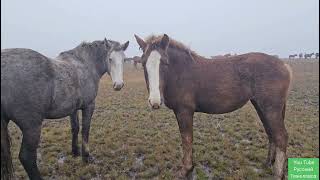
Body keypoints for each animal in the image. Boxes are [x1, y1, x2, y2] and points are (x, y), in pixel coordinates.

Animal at [1, 37, 129, 179]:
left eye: (124, 59)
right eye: (110, 59)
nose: (118, 85)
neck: (85, 64)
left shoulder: (73, 109)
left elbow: (75, 128)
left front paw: (75, 152)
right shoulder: (89, 106)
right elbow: (85, 130)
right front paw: (86, 157)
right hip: (31, 126)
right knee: (27, 158)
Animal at [134, 34, 292, 180]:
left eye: (165, 63)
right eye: (143, 63)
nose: (155, 101)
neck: (181, 72)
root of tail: (284, 65)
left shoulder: (184, 111)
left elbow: (187, 139)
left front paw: (186, 169)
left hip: (270, 109)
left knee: (281, 136)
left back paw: (277, 174)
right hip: (261, 107)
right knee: (271, 133)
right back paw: (268, 163)